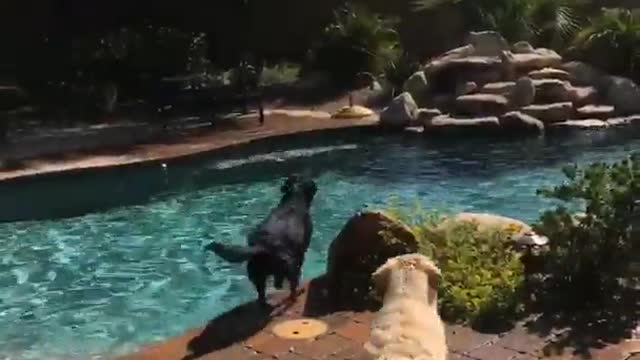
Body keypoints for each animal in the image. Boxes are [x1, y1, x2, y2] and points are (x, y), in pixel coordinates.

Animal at [205, 176, 318, 306]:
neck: (294, 199)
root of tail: (262, 246)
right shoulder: (301, 253)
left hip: (258, 275)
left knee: (262, 296)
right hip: (290, 268)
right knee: (292, 290)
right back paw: (296, 295)